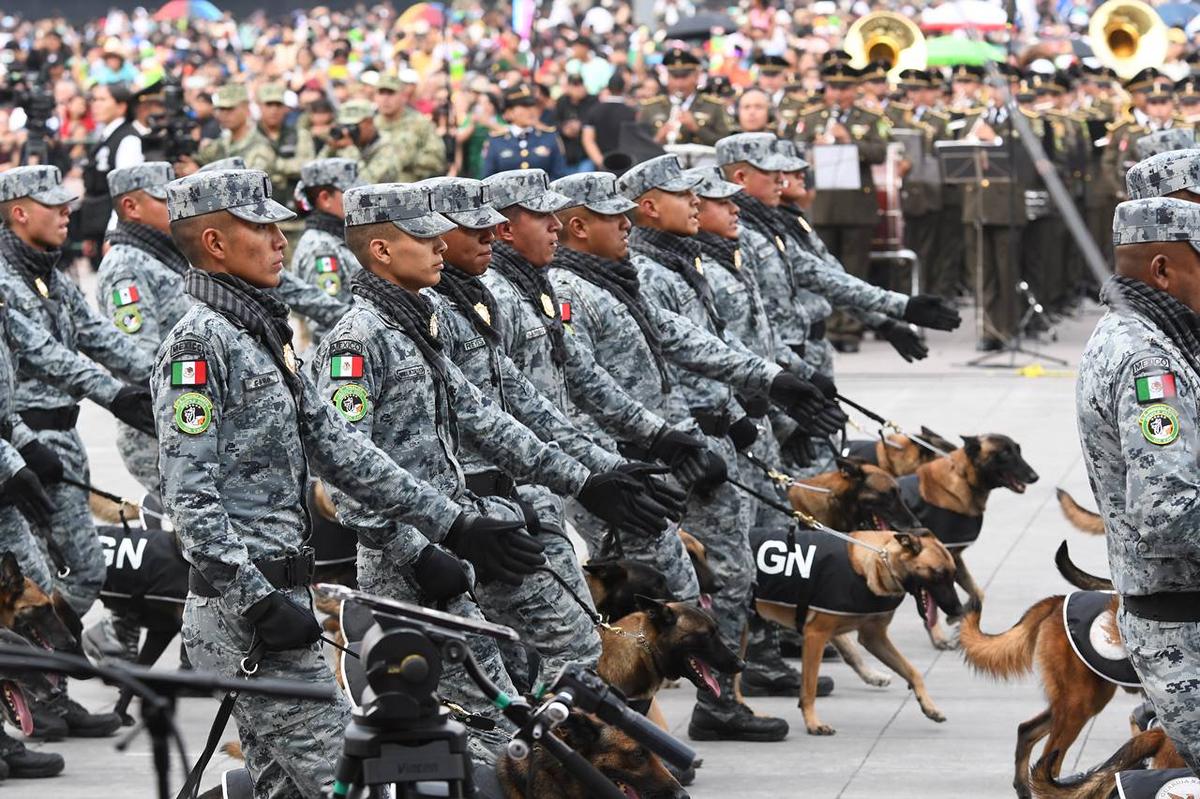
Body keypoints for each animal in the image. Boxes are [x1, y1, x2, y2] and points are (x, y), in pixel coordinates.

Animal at [753, 527, 960, 734]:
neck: (878, 560)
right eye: (939, 574)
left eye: (953, 574)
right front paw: (813, 723)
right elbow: (810, 687)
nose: (958, 611)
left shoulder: (873, 638)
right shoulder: (816, 634)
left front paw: (929, 706)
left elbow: (912, 671)